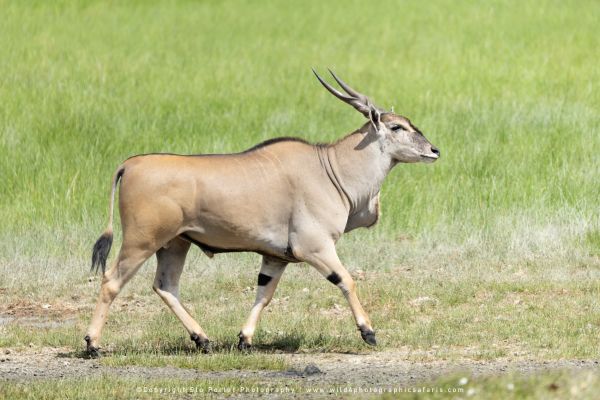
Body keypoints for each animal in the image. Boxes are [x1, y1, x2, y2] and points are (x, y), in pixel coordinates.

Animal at [84, 69, 438, 356]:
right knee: (112, 281)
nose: (434, 150)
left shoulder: (276, 257)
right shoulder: (315, 247)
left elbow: (264, 294)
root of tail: (131, 164)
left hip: (175, 244)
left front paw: (245, 340)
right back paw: (92, 344)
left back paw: (203, 339)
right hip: (142, 241)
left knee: (165, 286)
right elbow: (347, 281)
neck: (330, 168)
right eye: (397, 127)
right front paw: (368, 331)